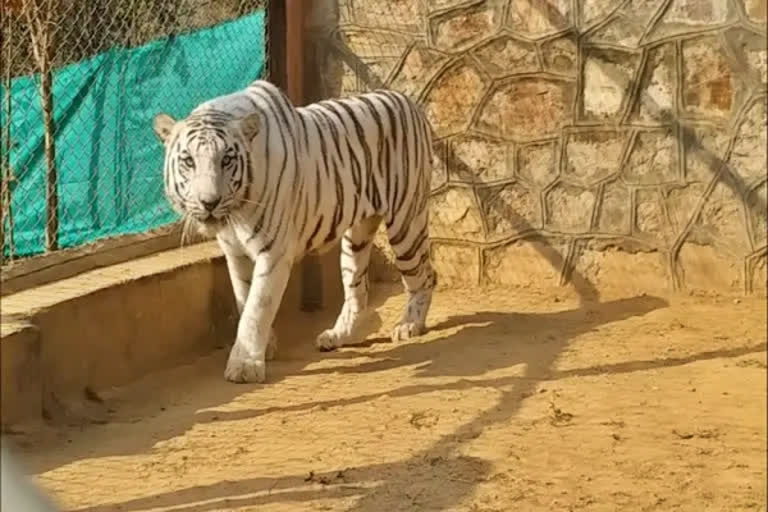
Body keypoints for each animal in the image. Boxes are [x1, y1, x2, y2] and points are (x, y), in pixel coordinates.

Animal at [153, 80, 438, 382]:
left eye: (227, 160)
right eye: (188, 161)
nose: (210, 202)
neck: (237, 212)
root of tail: (406, 100)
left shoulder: (274, 252)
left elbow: (257, 307)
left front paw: (245, 366)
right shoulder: (235, 254)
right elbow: (244, 299)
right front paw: (264, 347)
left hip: (406, 223)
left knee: (425, 276)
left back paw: (409, 325)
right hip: (356, 239)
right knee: (358, 289)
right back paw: (337, 335)